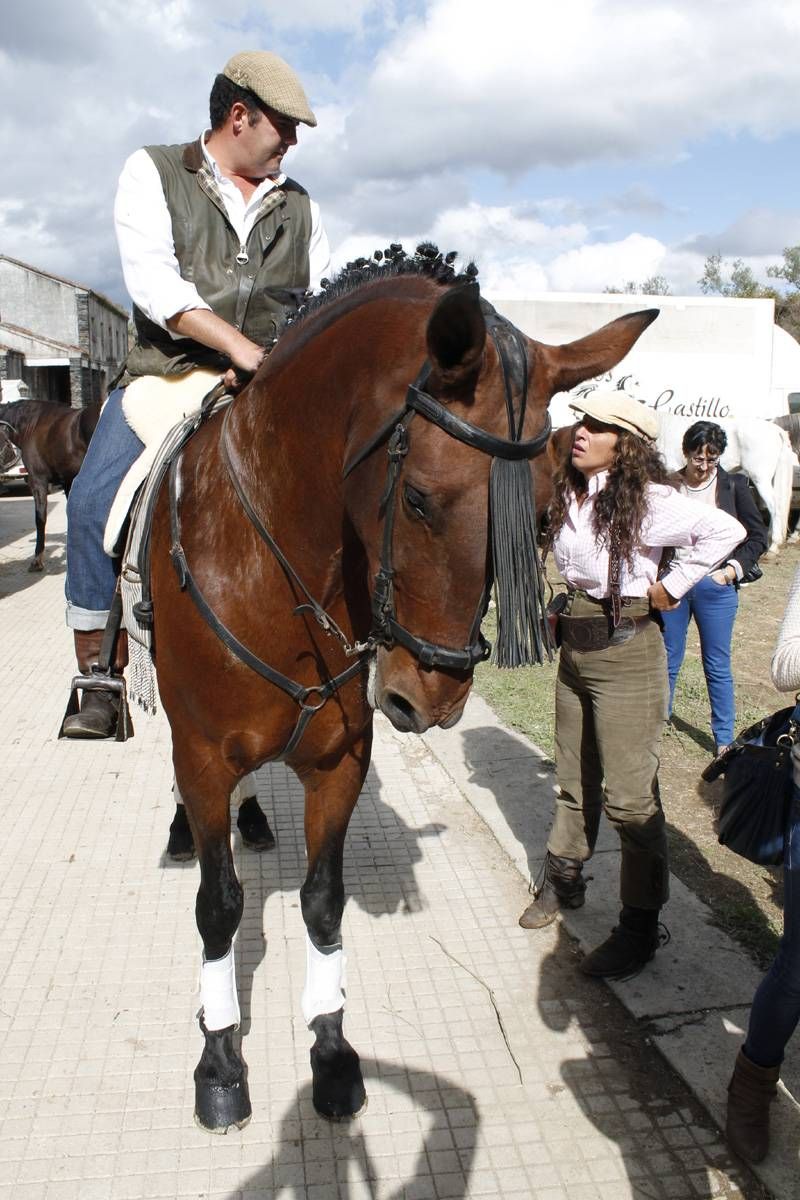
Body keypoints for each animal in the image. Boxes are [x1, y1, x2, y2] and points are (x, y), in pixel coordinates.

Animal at [142, 246, 657, 1132]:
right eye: (416, 497)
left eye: (546, 516)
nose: (432, 699)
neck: (276, 565)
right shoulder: (203, 756)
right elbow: (219, 907)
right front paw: (220, 1059)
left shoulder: (340, 760)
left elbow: (323, 902)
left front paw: (331, 1050)